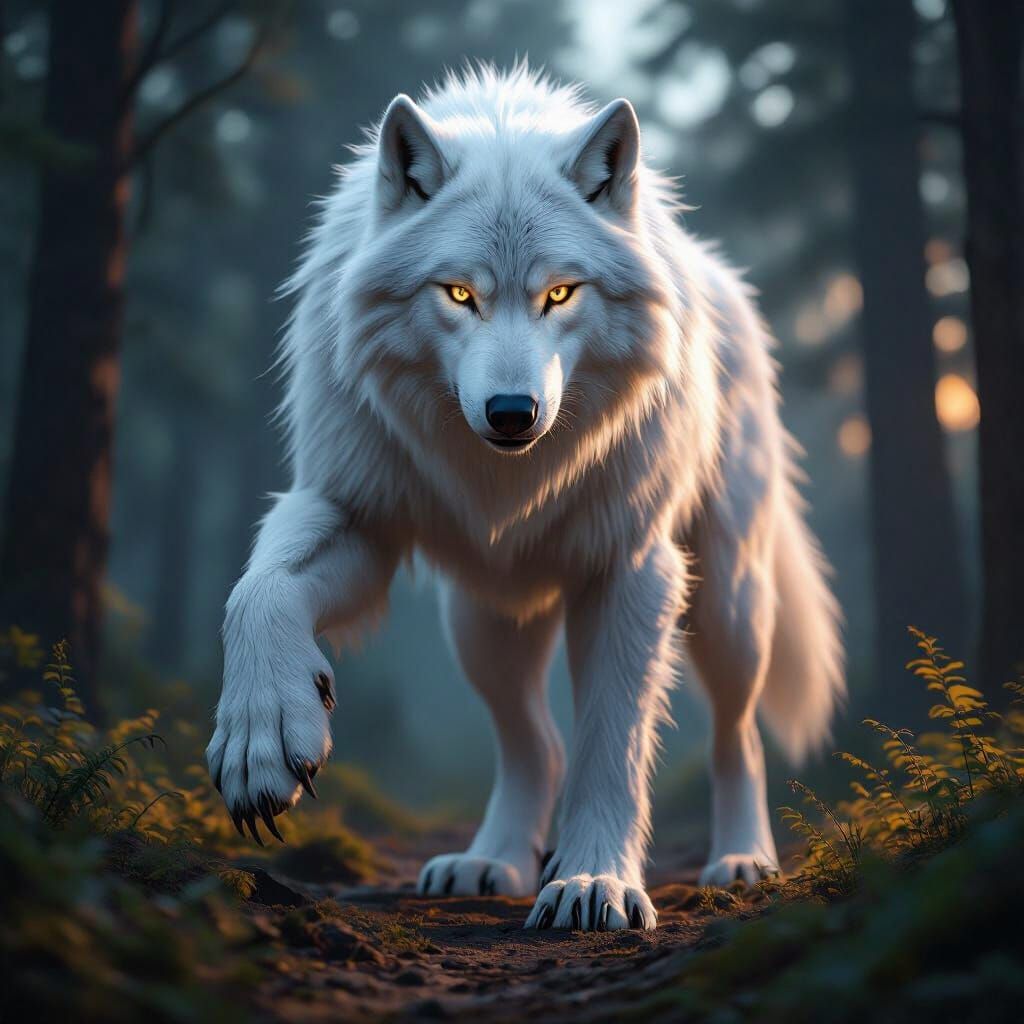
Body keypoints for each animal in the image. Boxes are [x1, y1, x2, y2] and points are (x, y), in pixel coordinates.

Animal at [206, 64, 843, 931]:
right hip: (483, 621)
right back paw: (492, 861)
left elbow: (613, 744)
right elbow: (257, 590)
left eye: (562, 294)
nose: (512, 413)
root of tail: (724, 278)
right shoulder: (354, 510)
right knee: (535, 743)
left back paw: (743, 861)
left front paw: (595, 883)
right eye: (459, 294)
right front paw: (259, 739)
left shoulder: (631, 569)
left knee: (734, 736)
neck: (509, 479)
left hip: (728, 607)